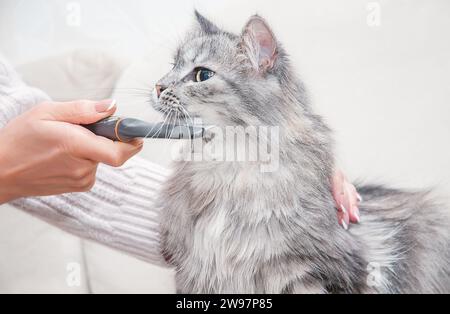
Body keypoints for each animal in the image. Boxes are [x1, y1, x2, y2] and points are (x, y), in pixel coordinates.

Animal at [152, 11, 450, 294]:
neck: (228, 172)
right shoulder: (194, 272)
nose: (157, 86)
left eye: (202, 75)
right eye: (172, 67)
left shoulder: (320, 271)